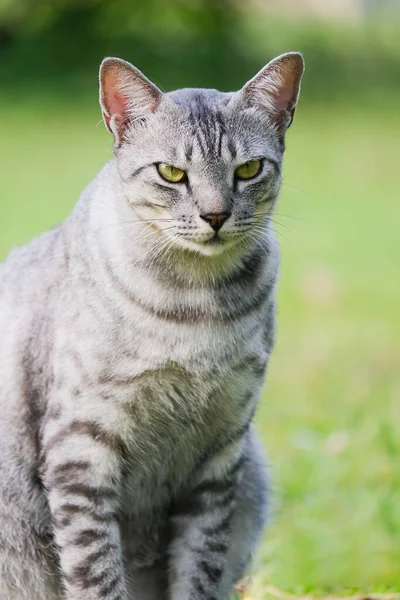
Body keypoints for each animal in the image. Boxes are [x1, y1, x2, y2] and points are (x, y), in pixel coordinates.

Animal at [0, 52, 304, 600]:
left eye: (248, 169)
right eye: (171, 172)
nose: (215, 215)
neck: (197, 305)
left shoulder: (219, 453)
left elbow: (199, 567)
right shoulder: (82, 449)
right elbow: (96, 573)